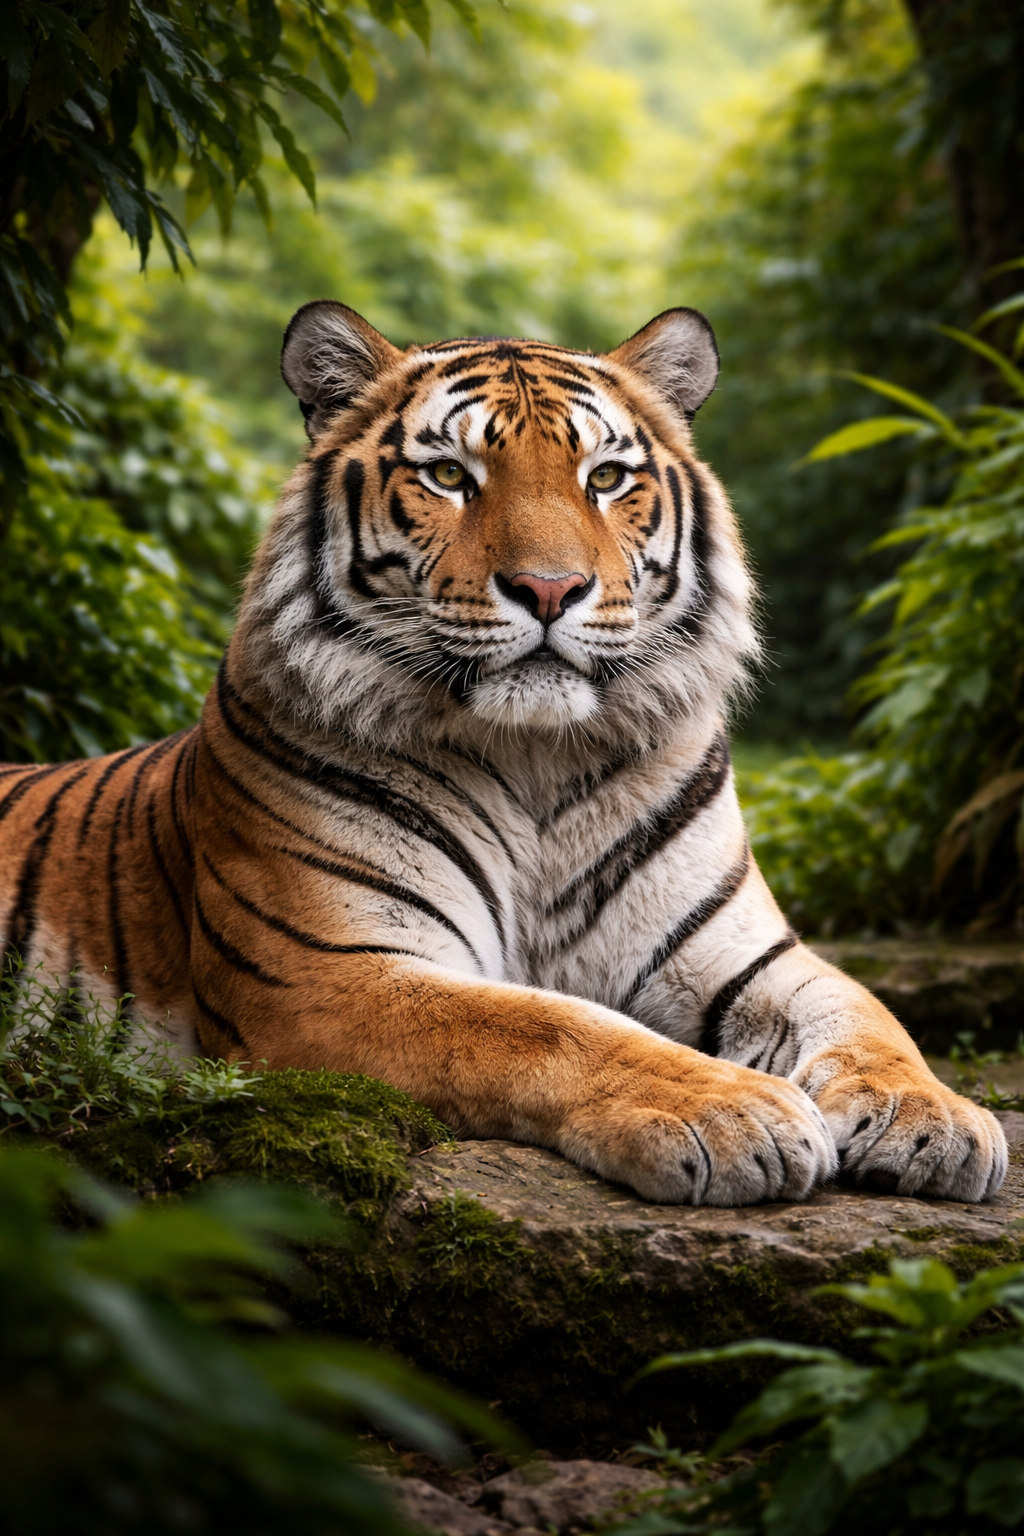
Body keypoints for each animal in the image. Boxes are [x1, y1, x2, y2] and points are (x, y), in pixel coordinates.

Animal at [0, 301, 1006, 1205]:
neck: (537, 761)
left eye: (607, 476)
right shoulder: (323, 972)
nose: (550, 588)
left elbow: (867, 1012)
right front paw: (730, 1110)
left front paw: (933, 1118)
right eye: (449, 473)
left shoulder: (744, 951)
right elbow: (546, 1026)